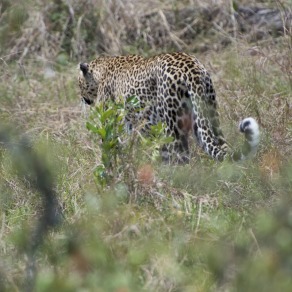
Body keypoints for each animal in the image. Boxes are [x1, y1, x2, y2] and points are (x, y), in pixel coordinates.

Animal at [78, 51, 260, 163]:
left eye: (79, 83)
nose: (82, 99)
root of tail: (191, 68)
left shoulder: (112, 121)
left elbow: (110, 147)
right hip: (208, 117)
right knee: (221, 147)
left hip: (173, 126)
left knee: (181, 159)